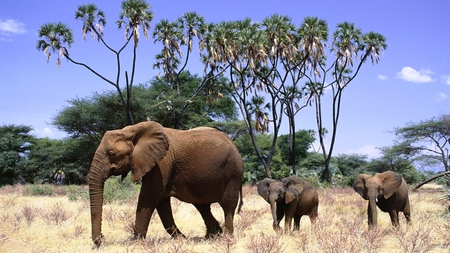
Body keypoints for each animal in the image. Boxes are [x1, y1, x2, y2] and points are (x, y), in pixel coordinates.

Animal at [89, 121, 244, 246]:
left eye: (111, 153)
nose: (102, 238)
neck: (131, 130)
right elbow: (161, 202)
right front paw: (181, 239)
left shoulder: (161, 163)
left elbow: (150, 196)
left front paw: (136, 244)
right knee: (202, 206)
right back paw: (212, 236)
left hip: (233, 172)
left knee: (228, 205)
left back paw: (227, 238)